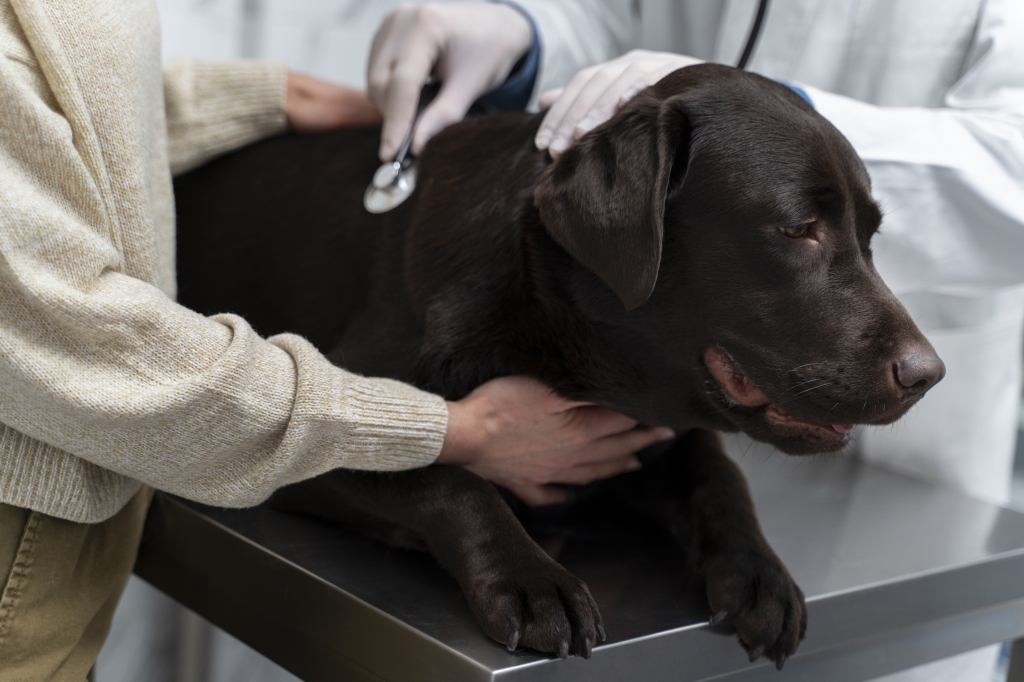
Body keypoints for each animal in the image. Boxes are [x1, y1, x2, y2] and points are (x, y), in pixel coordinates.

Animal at [174, 65, 942, 667]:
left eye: (871, 236)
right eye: (797, 229)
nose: (929, 375)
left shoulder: (666, 432)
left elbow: (720, 478)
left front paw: (761, 572)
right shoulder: (329, 429)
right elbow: (450, 480)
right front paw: (531, 579)